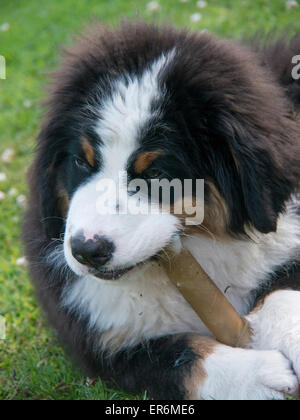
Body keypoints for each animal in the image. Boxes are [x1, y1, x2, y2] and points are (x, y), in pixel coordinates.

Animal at [24, 20, 300, 400]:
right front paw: (260, 377)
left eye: (155, 173)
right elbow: (183, 358)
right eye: (81, 161)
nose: (86, 250)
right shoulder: (104, 340)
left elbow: (281, 290)